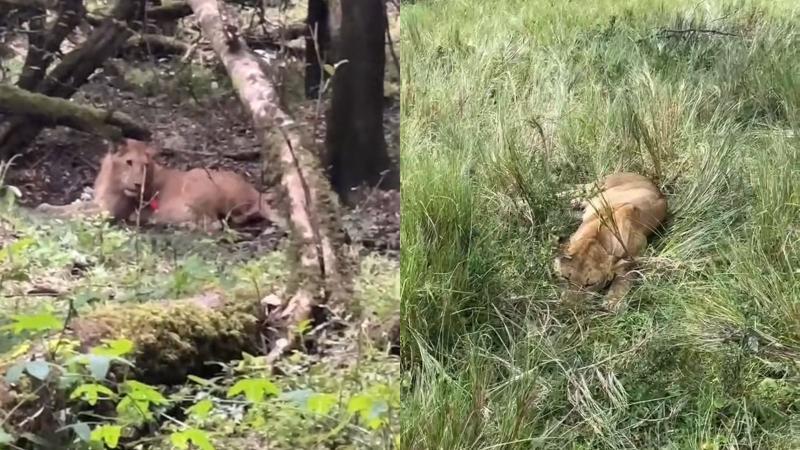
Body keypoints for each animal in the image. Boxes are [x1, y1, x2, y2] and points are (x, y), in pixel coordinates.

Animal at [554, 172, 667, 308]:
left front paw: (614, 300)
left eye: (590, 284)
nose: (569, 306)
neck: (596, 239)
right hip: (596, 187)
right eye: (565, 277)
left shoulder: (637, 254)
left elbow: (625, 276)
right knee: (577, 191)